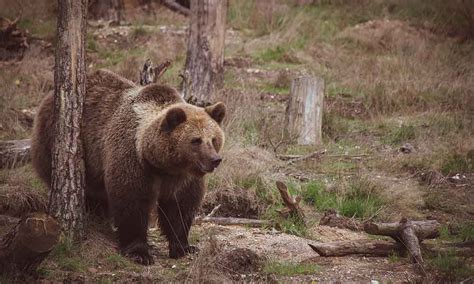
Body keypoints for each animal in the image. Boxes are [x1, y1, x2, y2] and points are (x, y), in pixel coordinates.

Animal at [31, 70, 226, 266]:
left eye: (213, 139)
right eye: (196, 140)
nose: (215, 159)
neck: (162, 164)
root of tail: (48, 97)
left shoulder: (183, 177)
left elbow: (180, 207)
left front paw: (184, 247)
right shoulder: (132, 159)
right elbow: (131, 201)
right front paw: (139, 252)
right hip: (60, 142)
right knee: (91, 191)